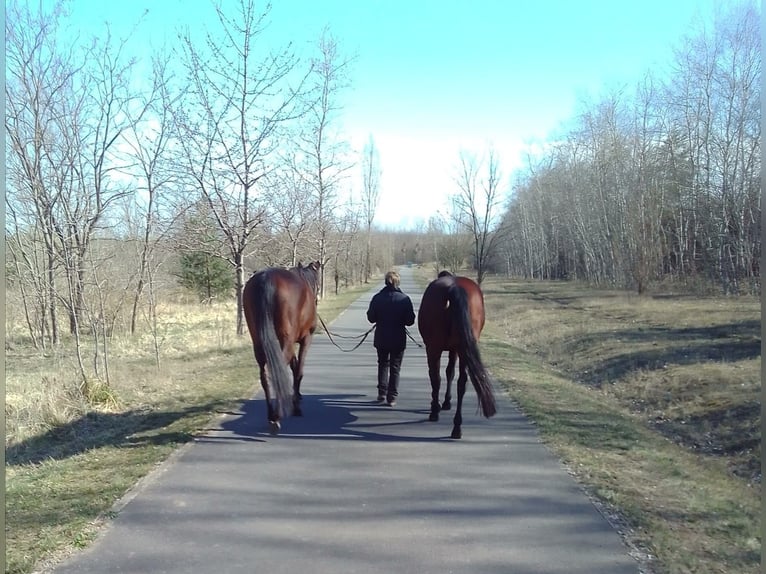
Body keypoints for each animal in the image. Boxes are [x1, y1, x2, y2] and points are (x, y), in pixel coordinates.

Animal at [242, 261, 321, 435]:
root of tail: (265, 278)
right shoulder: (306, 339)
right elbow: (298, 370)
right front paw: (296, 405)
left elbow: (294, 365)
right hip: (287, 340)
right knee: (279, 368)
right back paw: (277, 416)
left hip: (258, 342)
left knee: (264, 374)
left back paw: (271, 415)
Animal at [417, 270, 496, 439]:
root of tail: (454, 288)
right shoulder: (455, 350)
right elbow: (450, 373)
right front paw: (446, 402)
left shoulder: (438, 349)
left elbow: (443, 374)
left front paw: (441, 404)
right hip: (462, 348)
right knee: (461, 383)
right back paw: (457, 427)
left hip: (435, 348)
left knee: (436, 378)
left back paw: (436, 413)